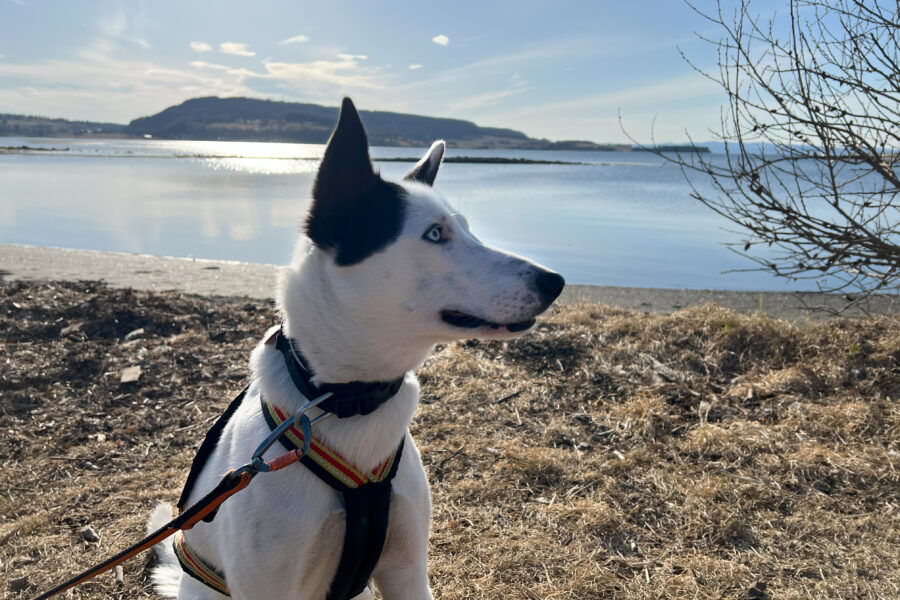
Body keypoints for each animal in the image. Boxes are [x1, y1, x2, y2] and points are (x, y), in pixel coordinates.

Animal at [151, 98, 568, 600]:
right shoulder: (268, 584)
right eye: (434, 234)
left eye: (466, 231)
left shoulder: (408, 570)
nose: (555, 281)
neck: (348, 398)